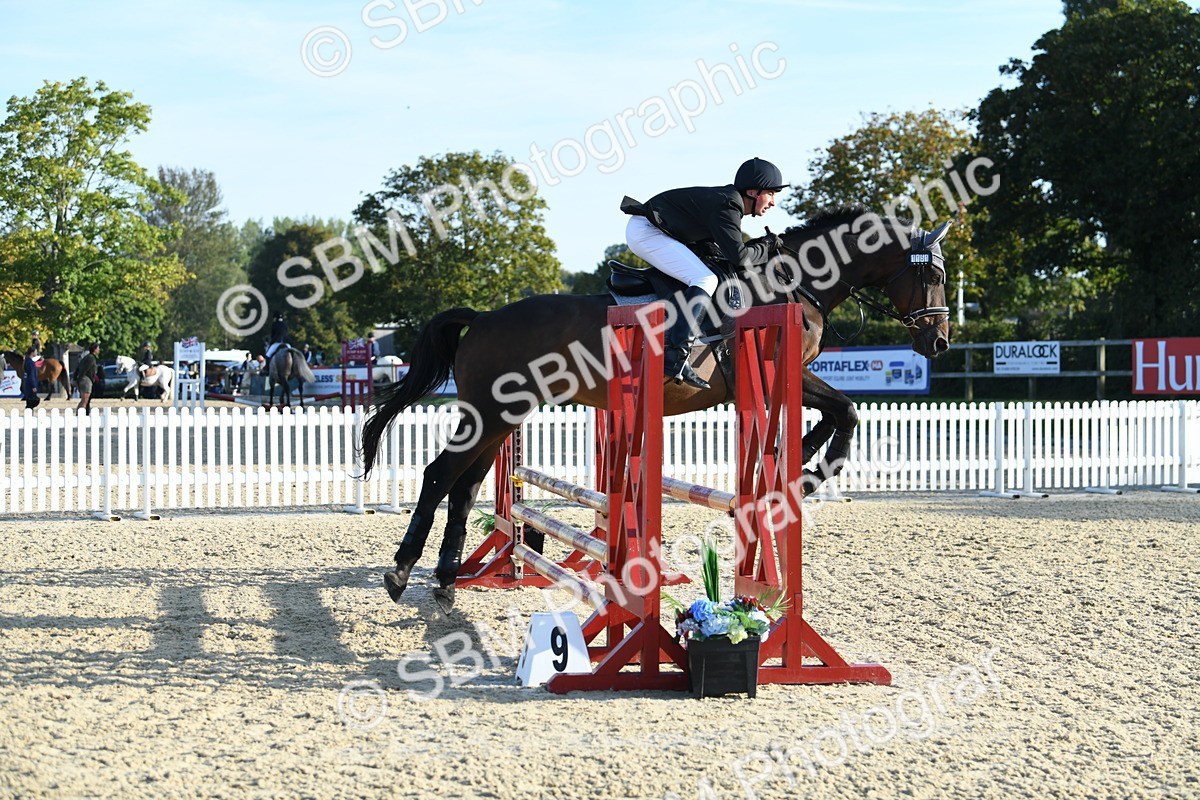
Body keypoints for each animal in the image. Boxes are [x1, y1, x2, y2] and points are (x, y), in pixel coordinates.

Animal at [359, 205, 952, 609]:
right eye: (934, 275)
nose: (939, 342)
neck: (790, 281)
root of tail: (482, 317)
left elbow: (837, 411)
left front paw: (799, 459)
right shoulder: (766, 376)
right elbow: (846, 411)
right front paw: (807, 470)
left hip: (504, 416)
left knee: (466, 484)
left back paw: (445, 581)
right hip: (490, 412)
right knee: (440, 475)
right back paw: (401, 572)